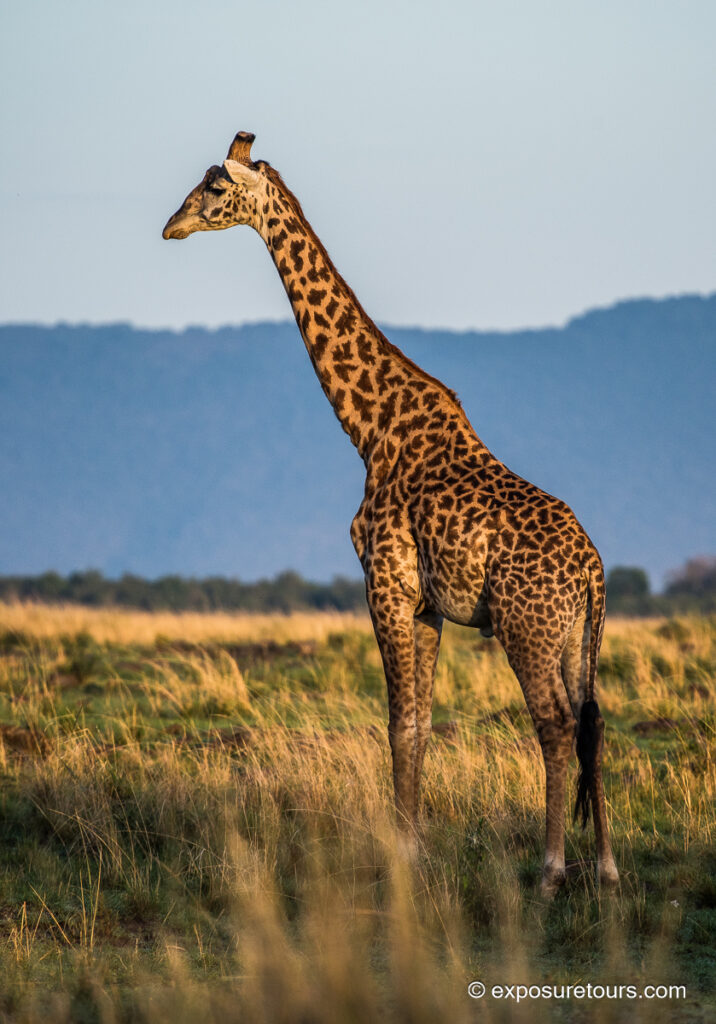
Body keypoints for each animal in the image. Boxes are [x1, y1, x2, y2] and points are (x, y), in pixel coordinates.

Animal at [163, 131, 619, 896]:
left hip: (527, 626)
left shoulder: (386, 584)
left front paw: (403, 854)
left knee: (555, 724)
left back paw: (552, 868)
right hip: (576, 633)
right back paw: (609, 869)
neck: (369, 428)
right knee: (593, 721)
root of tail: (593, 568)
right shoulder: (428, 603)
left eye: (215, 188)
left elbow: (398, 723)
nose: (172, 226)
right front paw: (418, 845)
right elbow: (422, 723)